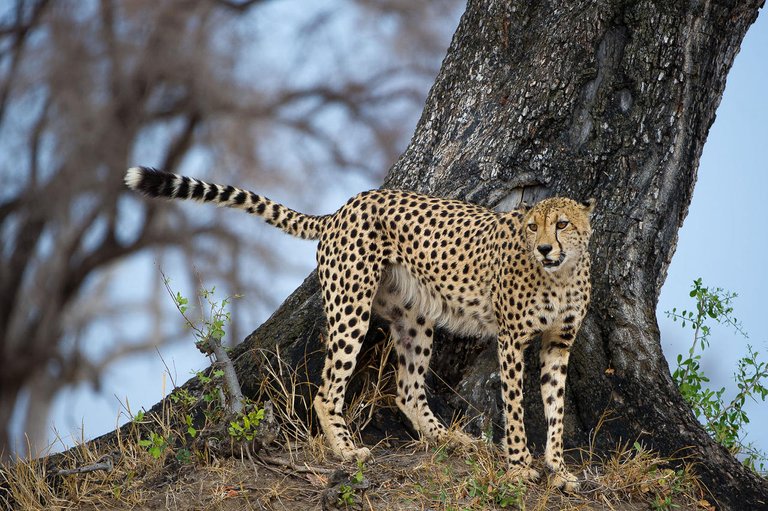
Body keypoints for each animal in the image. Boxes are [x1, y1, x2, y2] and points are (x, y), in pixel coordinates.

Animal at [126, 167, 592, 488]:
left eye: (562, 223)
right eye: (532, 226)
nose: (544, 248)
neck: (560, 274)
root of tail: (343, 207)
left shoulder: (557, 343)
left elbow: (555, 407)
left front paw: (558, 468)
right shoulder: (510, 339)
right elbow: (514, 407)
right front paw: (519, 466)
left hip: (414, 316)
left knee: (407, 389)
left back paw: (450, 439)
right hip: (352, 307)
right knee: (326, 391)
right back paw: (347, 452)